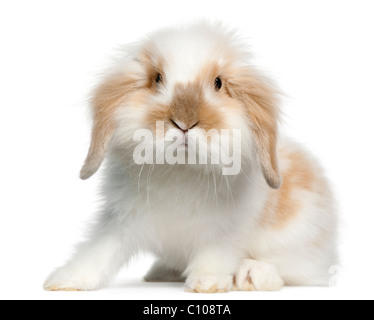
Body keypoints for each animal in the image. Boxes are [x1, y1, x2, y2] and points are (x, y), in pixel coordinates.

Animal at [44, 21, 338, 292]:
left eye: (218, 83)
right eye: (157, 78)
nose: (185, 121)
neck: (181, 168)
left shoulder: (225, 229)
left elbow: (216, 253)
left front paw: (208, 283)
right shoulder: (119, 222)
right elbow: (99, 251)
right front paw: (64, 281)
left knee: (292, 272)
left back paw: (252, 275)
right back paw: (159, 272)